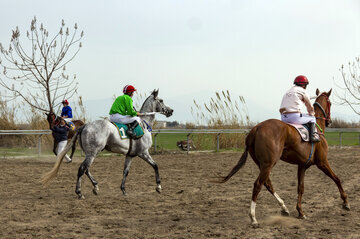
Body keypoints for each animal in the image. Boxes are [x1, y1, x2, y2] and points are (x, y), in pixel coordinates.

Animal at [40, 88, 173, 199]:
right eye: (161, 100)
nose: (171, 111)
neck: (144, 124)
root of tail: (84, 126)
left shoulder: (130, 155)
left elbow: (125, 172)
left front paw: (123, 190)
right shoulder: (143, 153)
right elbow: (155, 166)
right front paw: (158, 187)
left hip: (90, 153)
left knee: (86, 169)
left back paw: (95, 187)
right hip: (93, 153)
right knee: (82, 169)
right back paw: (79, 193)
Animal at [218, 89, 350, 224]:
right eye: (330, 103)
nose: (329, 121)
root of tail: (256, 128)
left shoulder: (302, 165)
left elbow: (300, 187)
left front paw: (300, 212)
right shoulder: (322, 162)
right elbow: (337, 178)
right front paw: (345, 202)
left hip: (263, 164)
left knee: (267, 183)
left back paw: (284, 208)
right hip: (269, 163)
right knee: (258, 184)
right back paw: (253, 217)